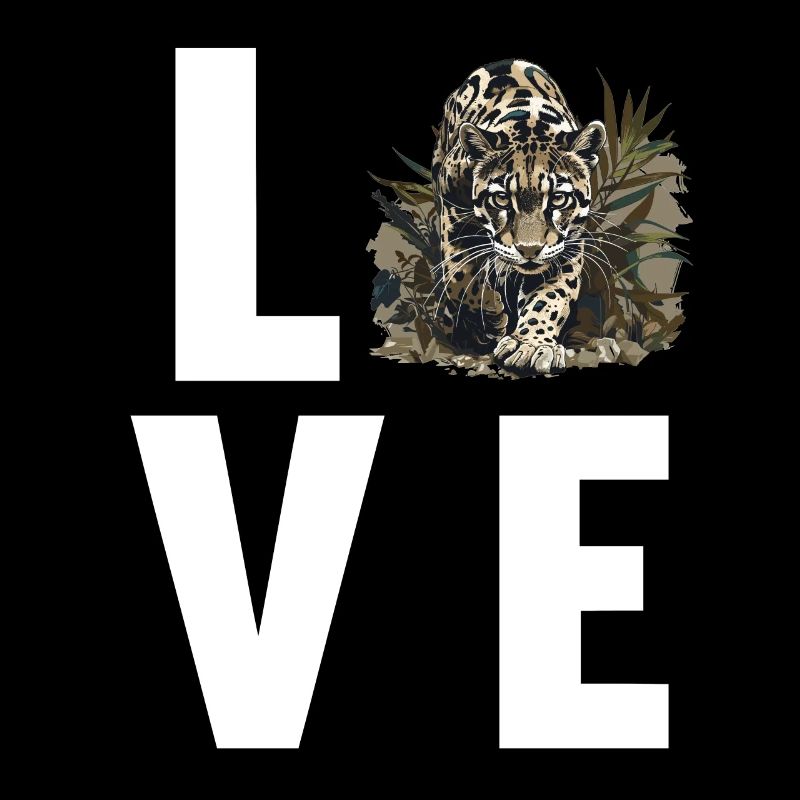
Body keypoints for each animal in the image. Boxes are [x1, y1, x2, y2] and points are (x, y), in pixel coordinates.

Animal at [431, 59, 606, 375]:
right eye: (501, 198)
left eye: (558, 198)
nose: (529, 250)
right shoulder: (451, 204)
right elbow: (460, 274)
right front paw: (491, 316)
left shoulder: (567, 244)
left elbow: (551, 295)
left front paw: (531, 345)